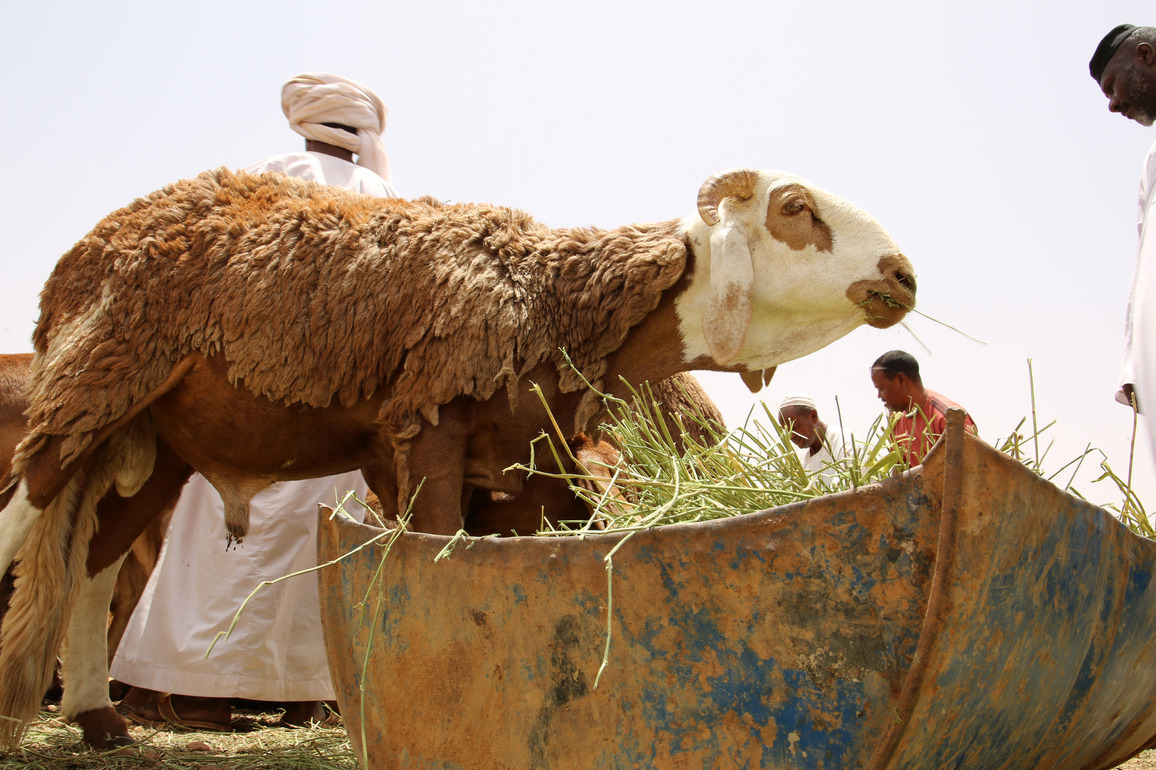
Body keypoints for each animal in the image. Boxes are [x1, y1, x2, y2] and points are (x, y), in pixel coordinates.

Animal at [0, 165, 915, 747]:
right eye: (793, 206)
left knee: (93, 563)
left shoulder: (527, 468)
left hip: (155, 441)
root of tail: (91, 244)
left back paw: (100, 721)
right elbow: (432, 560)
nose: (904, 273)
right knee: (25, 524)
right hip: (87, 393)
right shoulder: (430, 425)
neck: (551, 297)